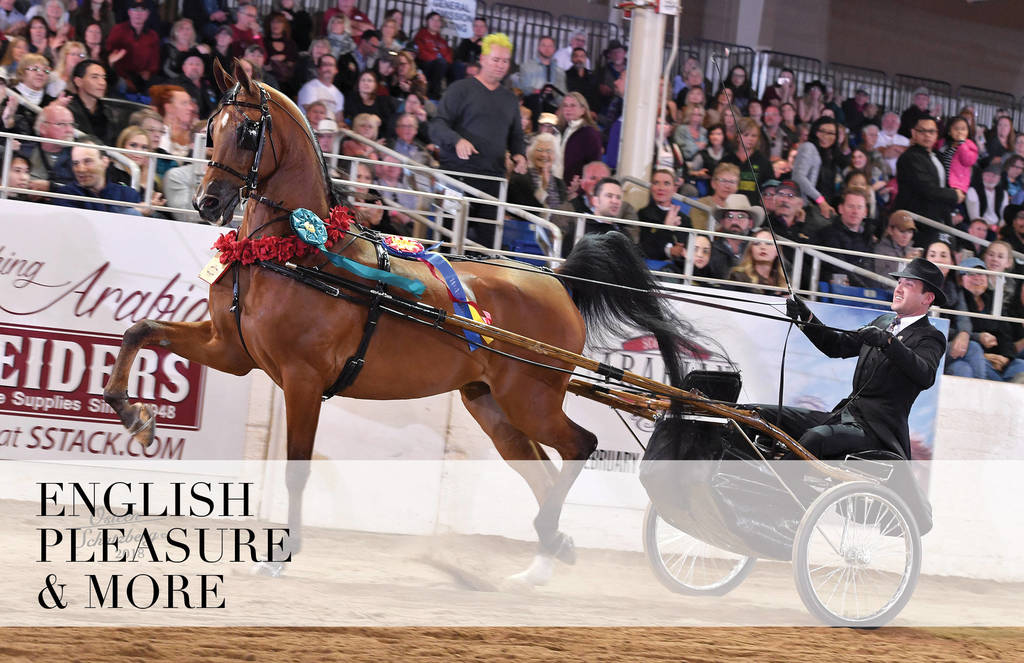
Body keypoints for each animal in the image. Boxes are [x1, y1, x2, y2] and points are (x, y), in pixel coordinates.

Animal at [101, 60, 694, 583]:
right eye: (210, 126)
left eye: (248, 131)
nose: (207, 202)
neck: (293, 253)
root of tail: (557, 280)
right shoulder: (232, 352)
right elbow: (140, 330)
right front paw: (132, 413)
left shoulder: (302, 378)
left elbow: (297, 466)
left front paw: (280, 556)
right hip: (492, 404)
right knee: (539, 468)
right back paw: (544, 558)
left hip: (533, 396)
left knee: (578, 446)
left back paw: (551, 538)